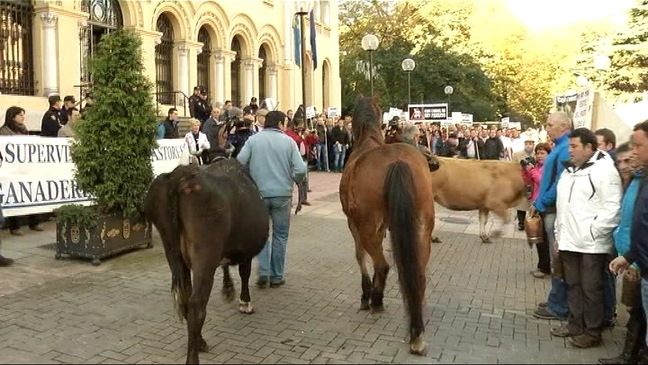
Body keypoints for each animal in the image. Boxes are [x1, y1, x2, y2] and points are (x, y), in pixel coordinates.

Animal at [144, 158, 268, 362]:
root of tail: (180, 174)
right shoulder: (245, 250)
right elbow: (245, 273)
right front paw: (245, 302)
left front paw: (228, 289)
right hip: (206, 252)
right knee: (196, 305)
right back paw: (193, 357)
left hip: (172, 251)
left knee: (186, 296)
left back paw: (200, 341)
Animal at [340, 95, 440, 354]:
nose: (434, 162)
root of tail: (397, 161)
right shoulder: (383, 227)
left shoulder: (354, 224)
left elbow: (361, 257)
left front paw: (367, 294)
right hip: (422, 227)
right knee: (418, 274)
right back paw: (416, 330)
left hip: (365, 226)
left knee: (383, 264)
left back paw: (375, 300)